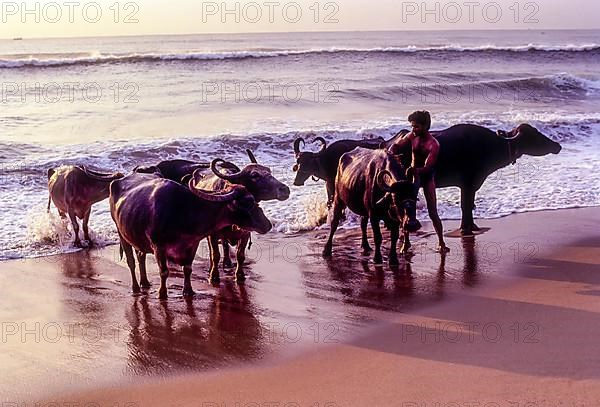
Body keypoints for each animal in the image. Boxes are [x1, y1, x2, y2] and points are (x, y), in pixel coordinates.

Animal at [110, 169, 272, 300]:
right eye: (248, 202)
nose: (268, 225)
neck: (185, 212)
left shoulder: (192, 245)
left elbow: (187, 269)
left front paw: (188, 291)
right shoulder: (158, 247)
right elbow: (164, 271)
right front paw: (162, 293)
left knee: (140, 257)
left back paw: (145, 283)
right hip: (121, 233)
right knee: (131, 261)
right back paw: (136, 287)